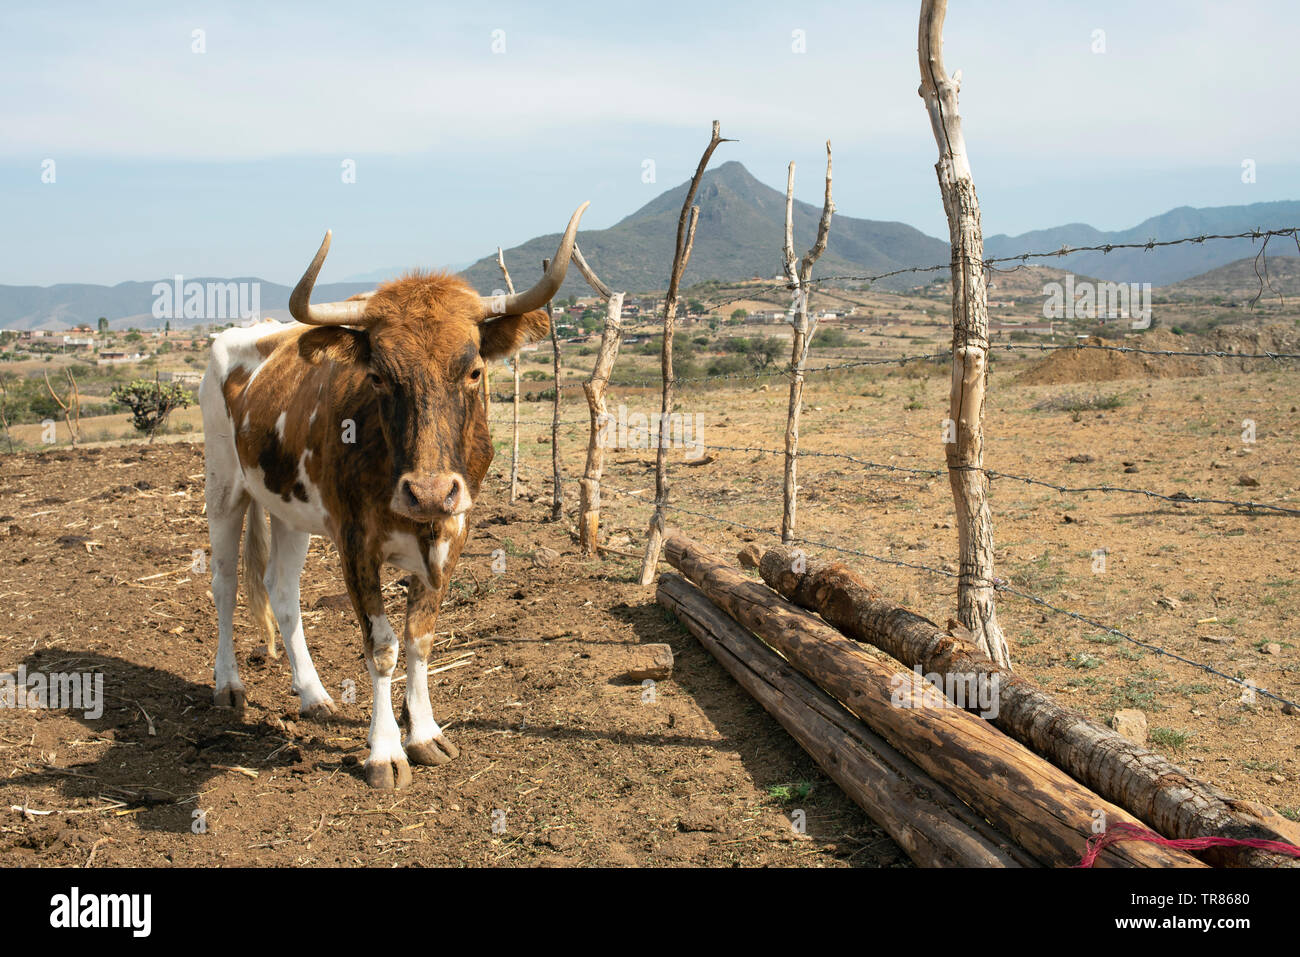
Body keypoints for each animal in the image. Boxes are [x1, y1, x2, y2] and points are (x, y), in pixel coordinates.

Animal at [200, 201, 587, 785]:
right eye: (379, 376)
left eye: (474, 370)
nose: (427, 492)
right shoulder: (355, 542)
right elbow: (381, 645)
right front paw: (384, 751)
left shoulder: (452, 530)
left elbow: (420, 635)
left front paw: (424, 734)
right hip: (224, 486)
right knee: (224, 585)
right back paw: (228, 685)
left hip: (289, 508)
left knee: (282, 592)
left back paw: (313, 695)